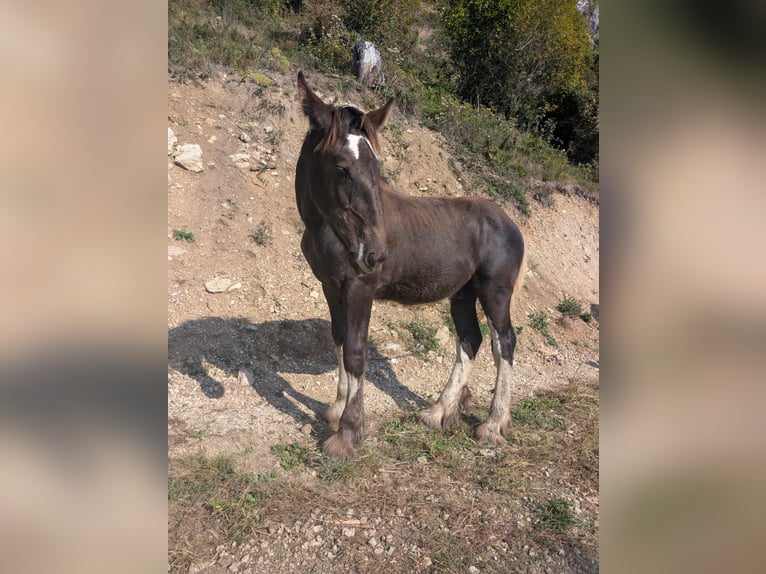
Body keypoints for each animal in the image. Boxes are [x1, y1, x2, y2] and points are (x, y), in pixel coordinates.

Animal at [294, 71, 526, 460]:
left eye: (376, 168)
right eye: (342, 169)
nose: (373, 254)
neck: (326, 228)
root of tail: (510, 223)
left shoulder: (359, 287)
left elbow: (356, 351)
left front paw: (347, 433)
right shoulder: (331, 287)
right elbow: (339, 340)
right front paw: (337, 410)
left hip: (495, 291)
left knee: (503, 343)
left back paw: (493, 425)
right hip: (462, 294)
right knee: (470, 340)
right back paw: (438, 412)